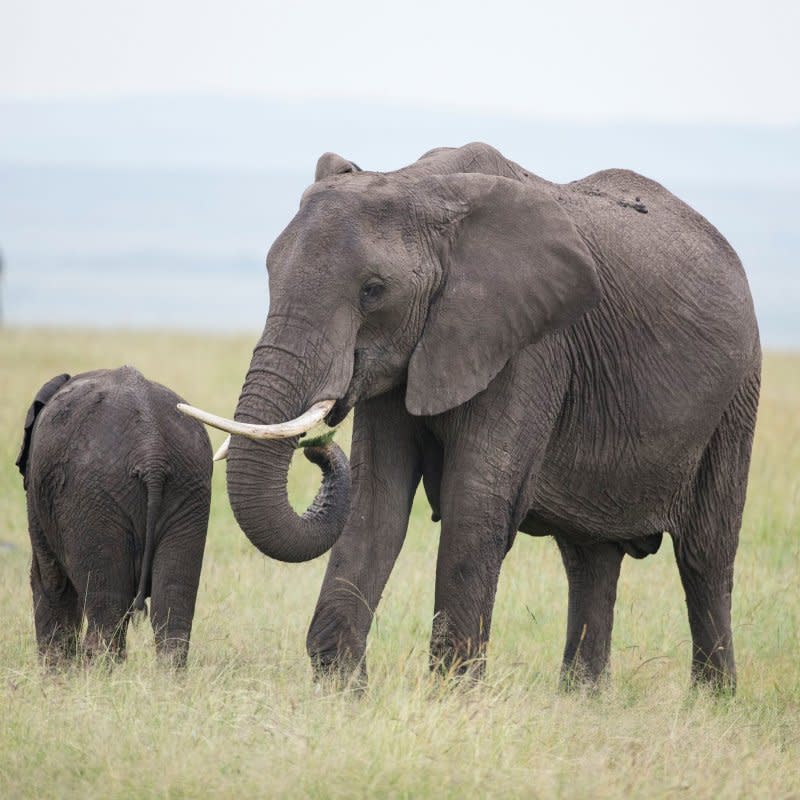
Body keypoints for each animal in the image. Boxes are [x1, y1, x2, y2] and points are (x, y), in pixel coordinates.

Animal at [18, 366, 212, 664]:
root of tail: (151, 450)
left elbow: (50, 581)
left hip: (93, 497)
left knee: (106, 613)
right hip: (190, 486)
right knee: (171, 607)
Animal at [183, 145, 764, 692]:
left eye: (373, 290)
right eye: (268, 272)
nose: (320, 447)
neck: (421, 186)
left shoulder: (528, 344)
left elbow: (474, 504)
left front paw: (452, 696)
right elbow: (376, 502)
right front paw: (343, 690)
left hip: (738, 394)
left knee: (705, 557)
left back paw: (710, 702)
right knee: (589, 559)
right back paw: (583, 701)